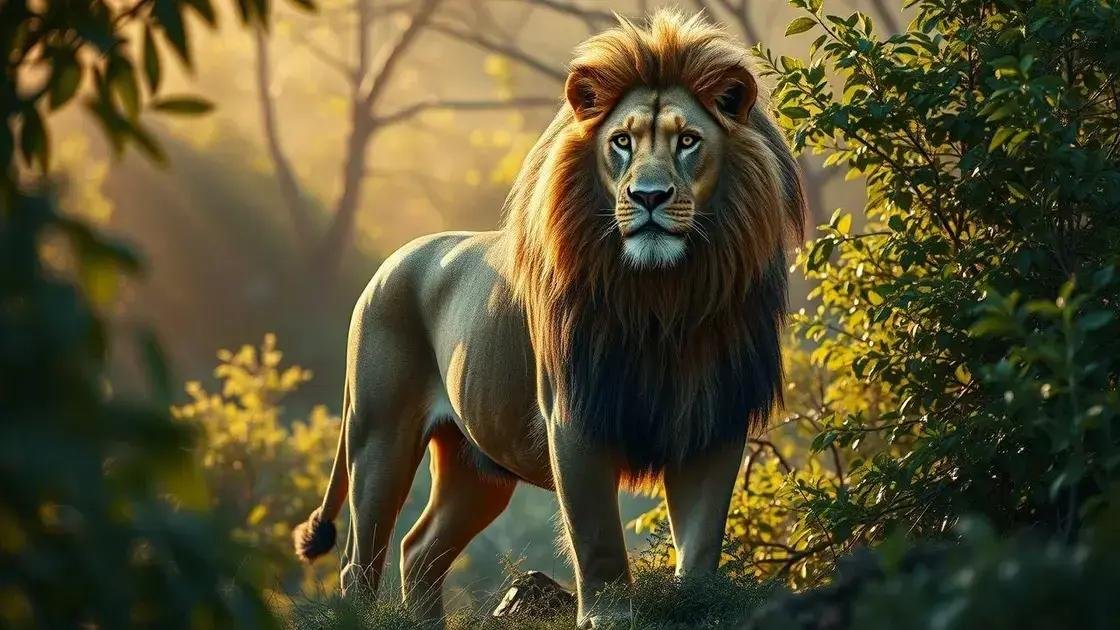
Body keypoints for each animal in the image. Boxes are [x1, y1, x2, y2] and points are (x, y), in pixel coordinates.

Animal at [293, 10, 805, 628]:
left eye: (688, 141)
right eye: (621, 141)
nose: (649, 196)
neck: (663, 297)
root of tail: (391, 262)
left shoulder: (713, 420)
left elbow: (703, 541)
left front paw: (697, 606)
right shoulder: (575, 419)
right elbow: (598, 537)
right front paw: (608, 617)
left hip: (477, 466)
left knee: (420, 548)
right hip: (379, 435)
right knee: (359, 561)